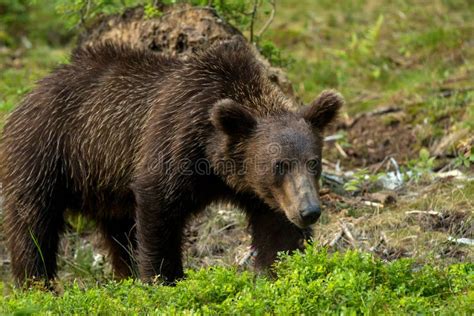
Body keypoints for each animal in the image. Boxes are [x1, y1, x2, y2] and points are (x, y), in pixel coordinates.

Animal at [0, 35, 342, 286]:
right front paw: (164, 278)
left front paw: (285, 270)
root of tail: (30, 91)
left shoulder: (260, 193)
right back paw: (36, 283)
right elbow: (158, 210)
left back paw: (124, 276)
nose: (309, 211)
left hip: (103, 180)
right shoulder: (173, 140)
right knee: (32, 223)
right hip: (47, 153)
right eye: (279, 166)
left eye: (314, 162)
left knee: (118, 230)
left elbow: (278, 233)